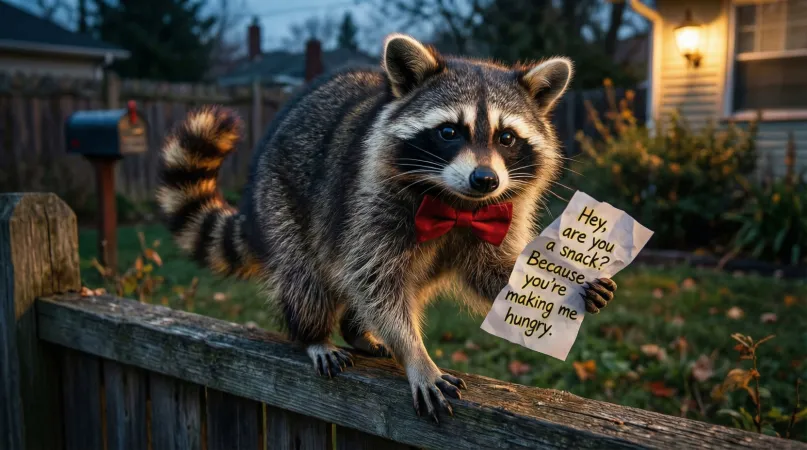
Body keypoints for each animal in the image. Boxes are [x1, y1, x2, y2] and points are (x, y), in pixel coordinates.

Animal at [156, 33, 617, 422]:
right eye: (449, 132)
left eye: (506, 138)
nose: (485, 179)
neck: (456, 203)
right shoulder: (369, 199)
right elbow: (375, 280)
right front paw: (415, 355)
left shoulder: (500, 211)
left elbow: (494, 271)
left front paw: (563, 277)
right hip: (279, 199)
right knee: (306, 277)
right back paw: (314, 334)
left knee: (413, 280)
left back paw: (355, 330)